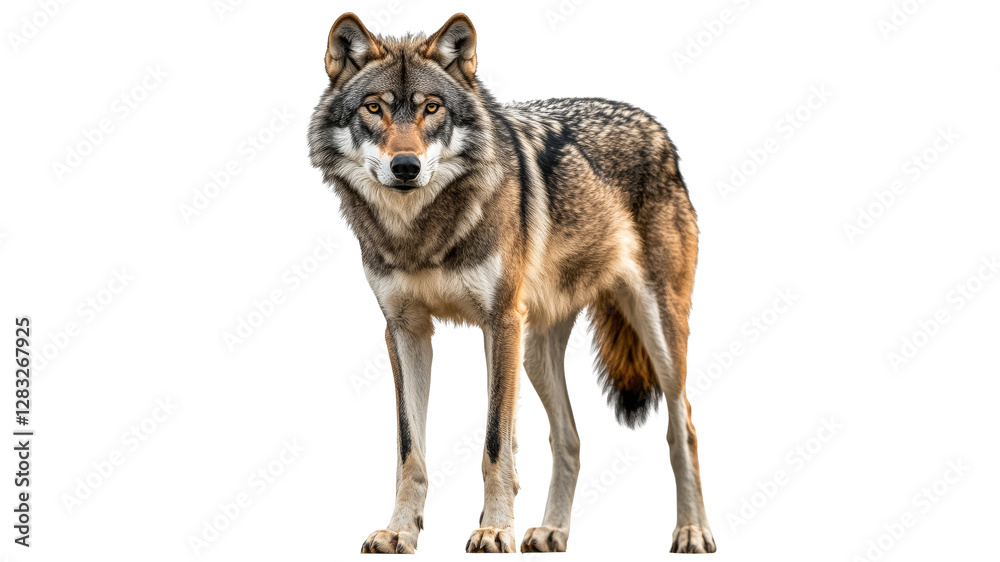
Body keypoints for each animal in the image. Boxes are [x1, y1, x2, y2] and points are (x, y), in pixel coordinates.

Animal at [308, 13, 716, 554]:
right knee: (569, 438)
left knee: (683, 426)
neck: (420, 234)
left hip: (656, 333)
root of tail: (655, 126)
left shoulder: (499, 322)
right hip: (536, 352)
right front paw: (399, 532)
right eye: (374, 108)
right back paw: (551, 531)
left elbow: (495, 443)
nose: (406, 167)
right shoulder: (405, 330)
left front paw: (494, 529)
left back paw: (692, 531)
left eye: (432, 108)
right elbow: (409, 448)